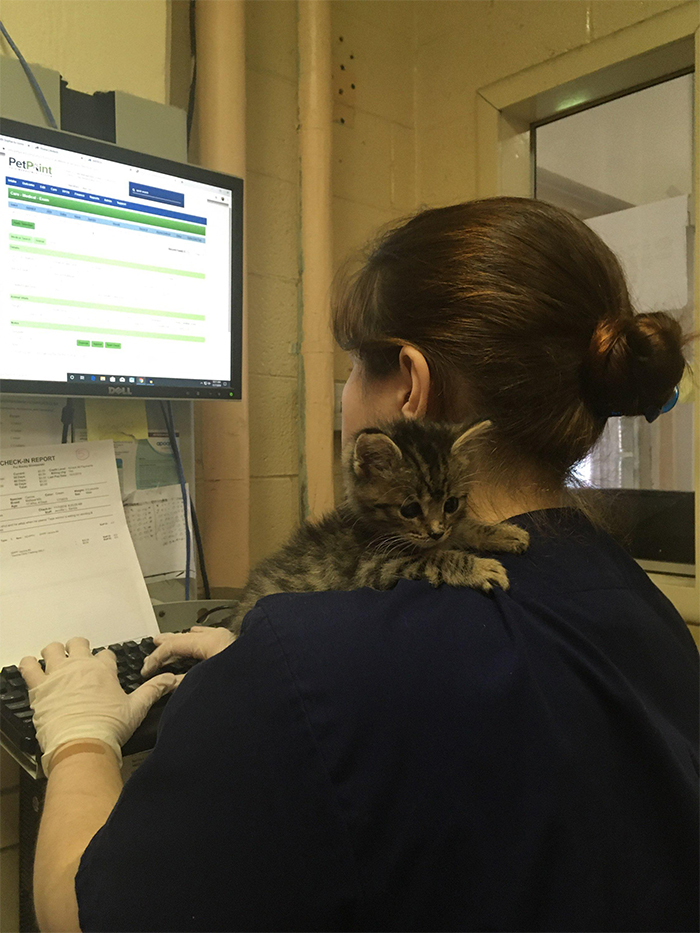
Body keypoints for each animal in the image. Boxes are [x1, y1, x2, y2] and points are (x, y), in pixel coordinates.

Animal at [221, 420, 528, 632]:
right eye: (410, 509)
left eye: (451, 504)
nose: (436, 531)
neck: (376, 528)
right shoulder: (373, 566)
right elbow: (434, 558)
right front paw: (479, 567)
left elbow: (460, 529)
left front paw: (503, 533)